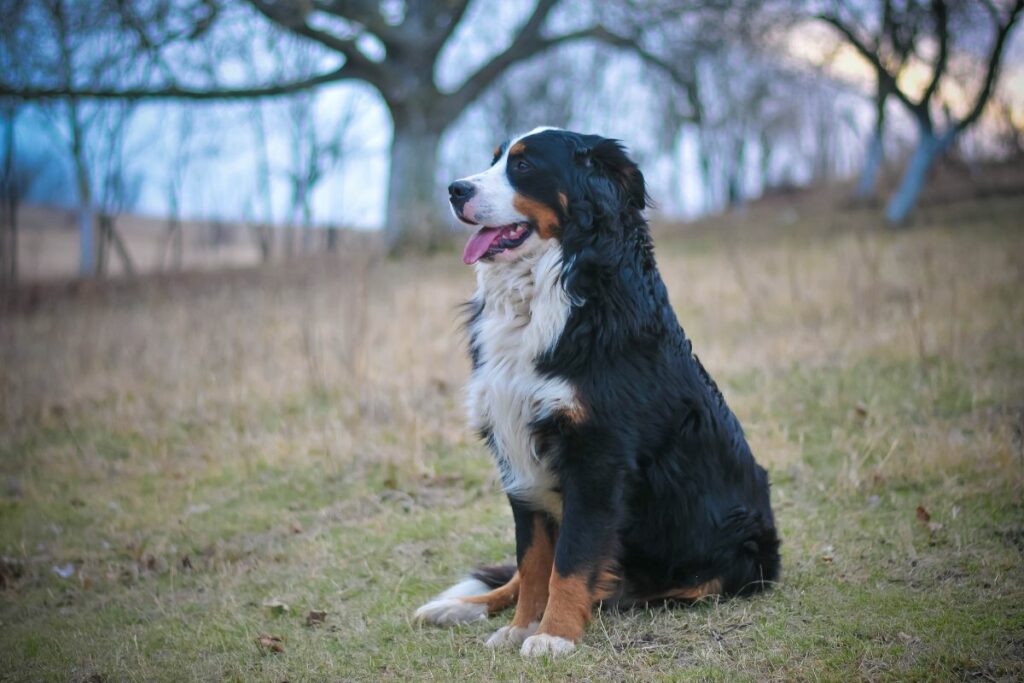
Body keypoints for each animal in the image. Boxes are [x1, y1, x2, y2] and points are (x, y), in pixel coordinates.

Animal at [411, 126, 778, 655]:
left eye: (523, 165)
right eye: (495, 158)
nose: (455, 189)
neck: (548, 292)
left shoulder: (598, 456)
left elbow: (570, 561)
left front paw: (552, 636)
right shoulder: (516, 448)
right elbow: (533, 560)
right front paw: (523, 626)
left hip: (739, 547)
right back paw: (458, 606)